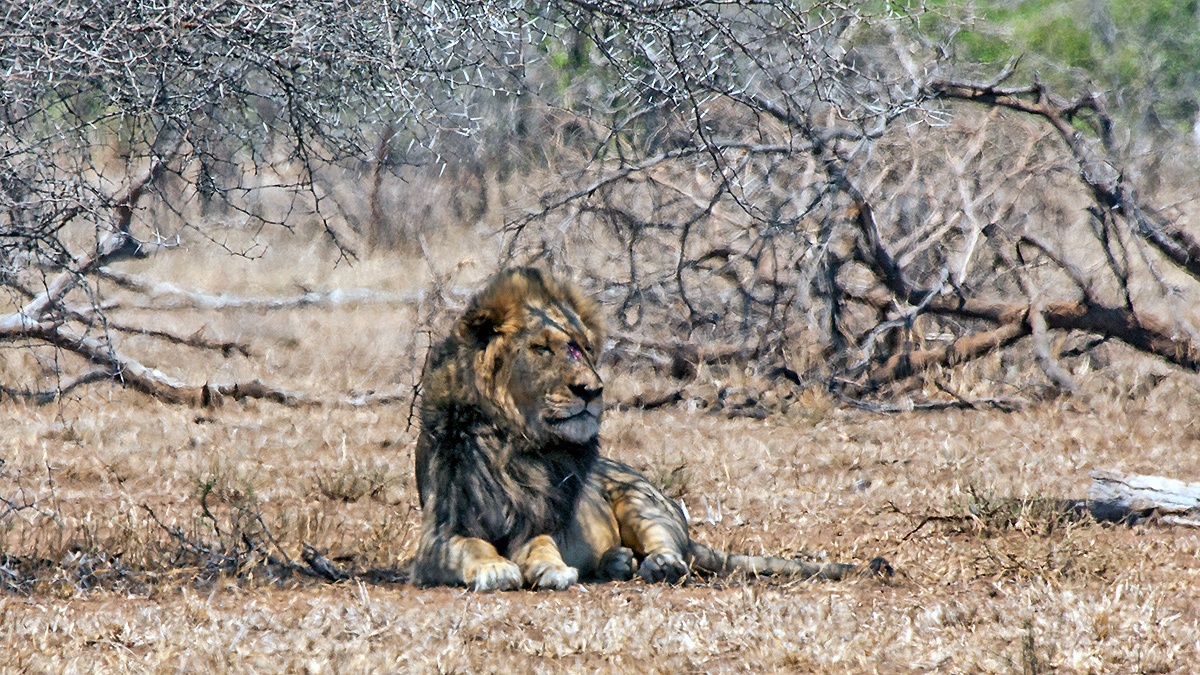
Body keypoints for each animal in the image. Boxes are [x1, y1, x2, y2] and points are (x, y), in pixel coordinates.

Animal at [412, 267, 889, 590]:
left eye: (582, 348)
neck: (515, 442)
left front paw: (552, 568)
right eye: (541, 348)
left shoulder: (538, 523)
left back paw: (655, 565)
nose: (592, 390)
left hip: (642, 501)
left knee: (672, 551)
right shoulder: (438, 535)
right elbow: (470, 546)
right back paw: (617, 562)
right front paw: (495, 566)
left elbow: (542, 545)